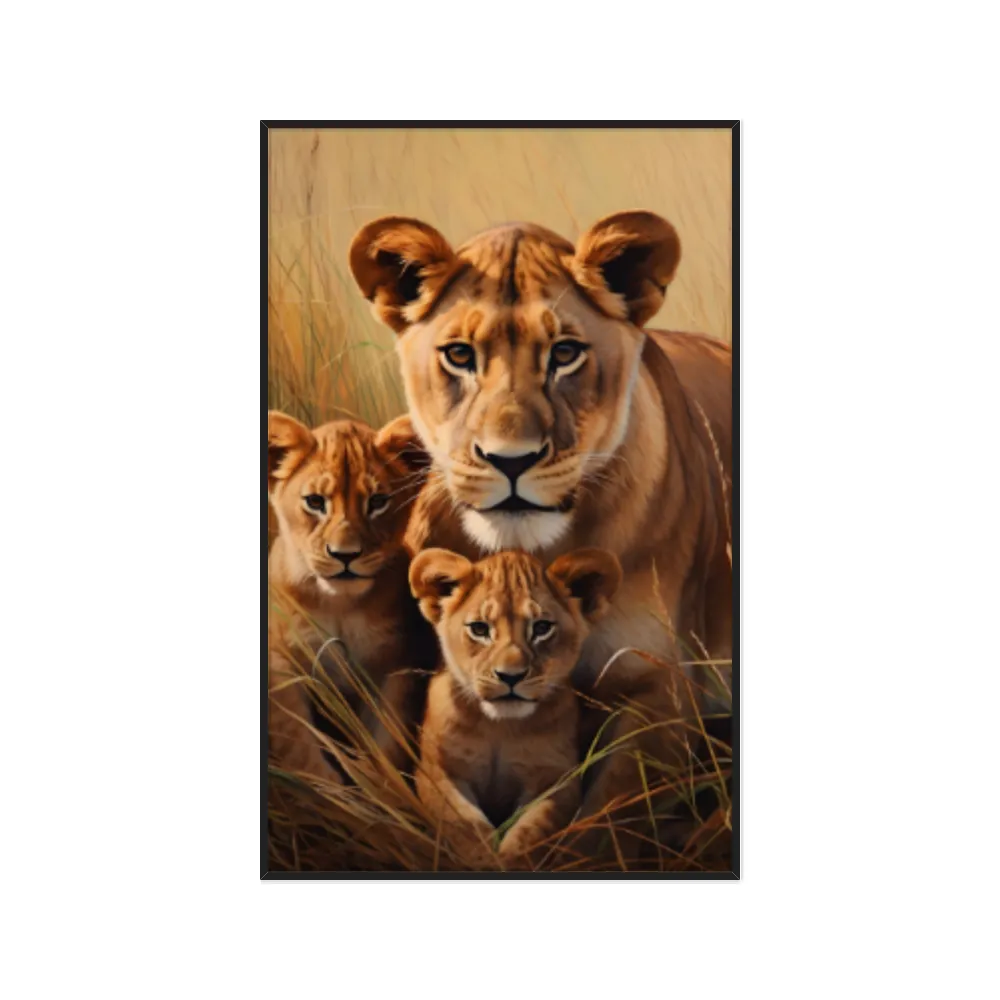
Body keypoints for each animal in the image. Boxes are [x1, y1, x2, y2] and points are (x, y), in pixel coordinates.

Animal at [267, 410, 436, 785]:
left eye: (378, 502)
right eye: (315, 502)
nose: (345, 555)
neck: (339, 606)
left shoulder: (395, 666)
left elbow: (387, 744)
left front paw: (382, 793)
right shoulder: (280, 665)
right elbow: (299, 746)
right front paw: (329, 792)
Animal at [410, 546, 621, 868]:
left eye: (542, 628)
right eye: (480, 629)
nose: (510, 676)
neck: (499, 726)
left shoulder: (556, 780)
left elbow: (532, 832)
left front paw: (508, 860)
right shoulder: (437, 771)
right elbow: (463, 823)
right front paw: (484, 860)